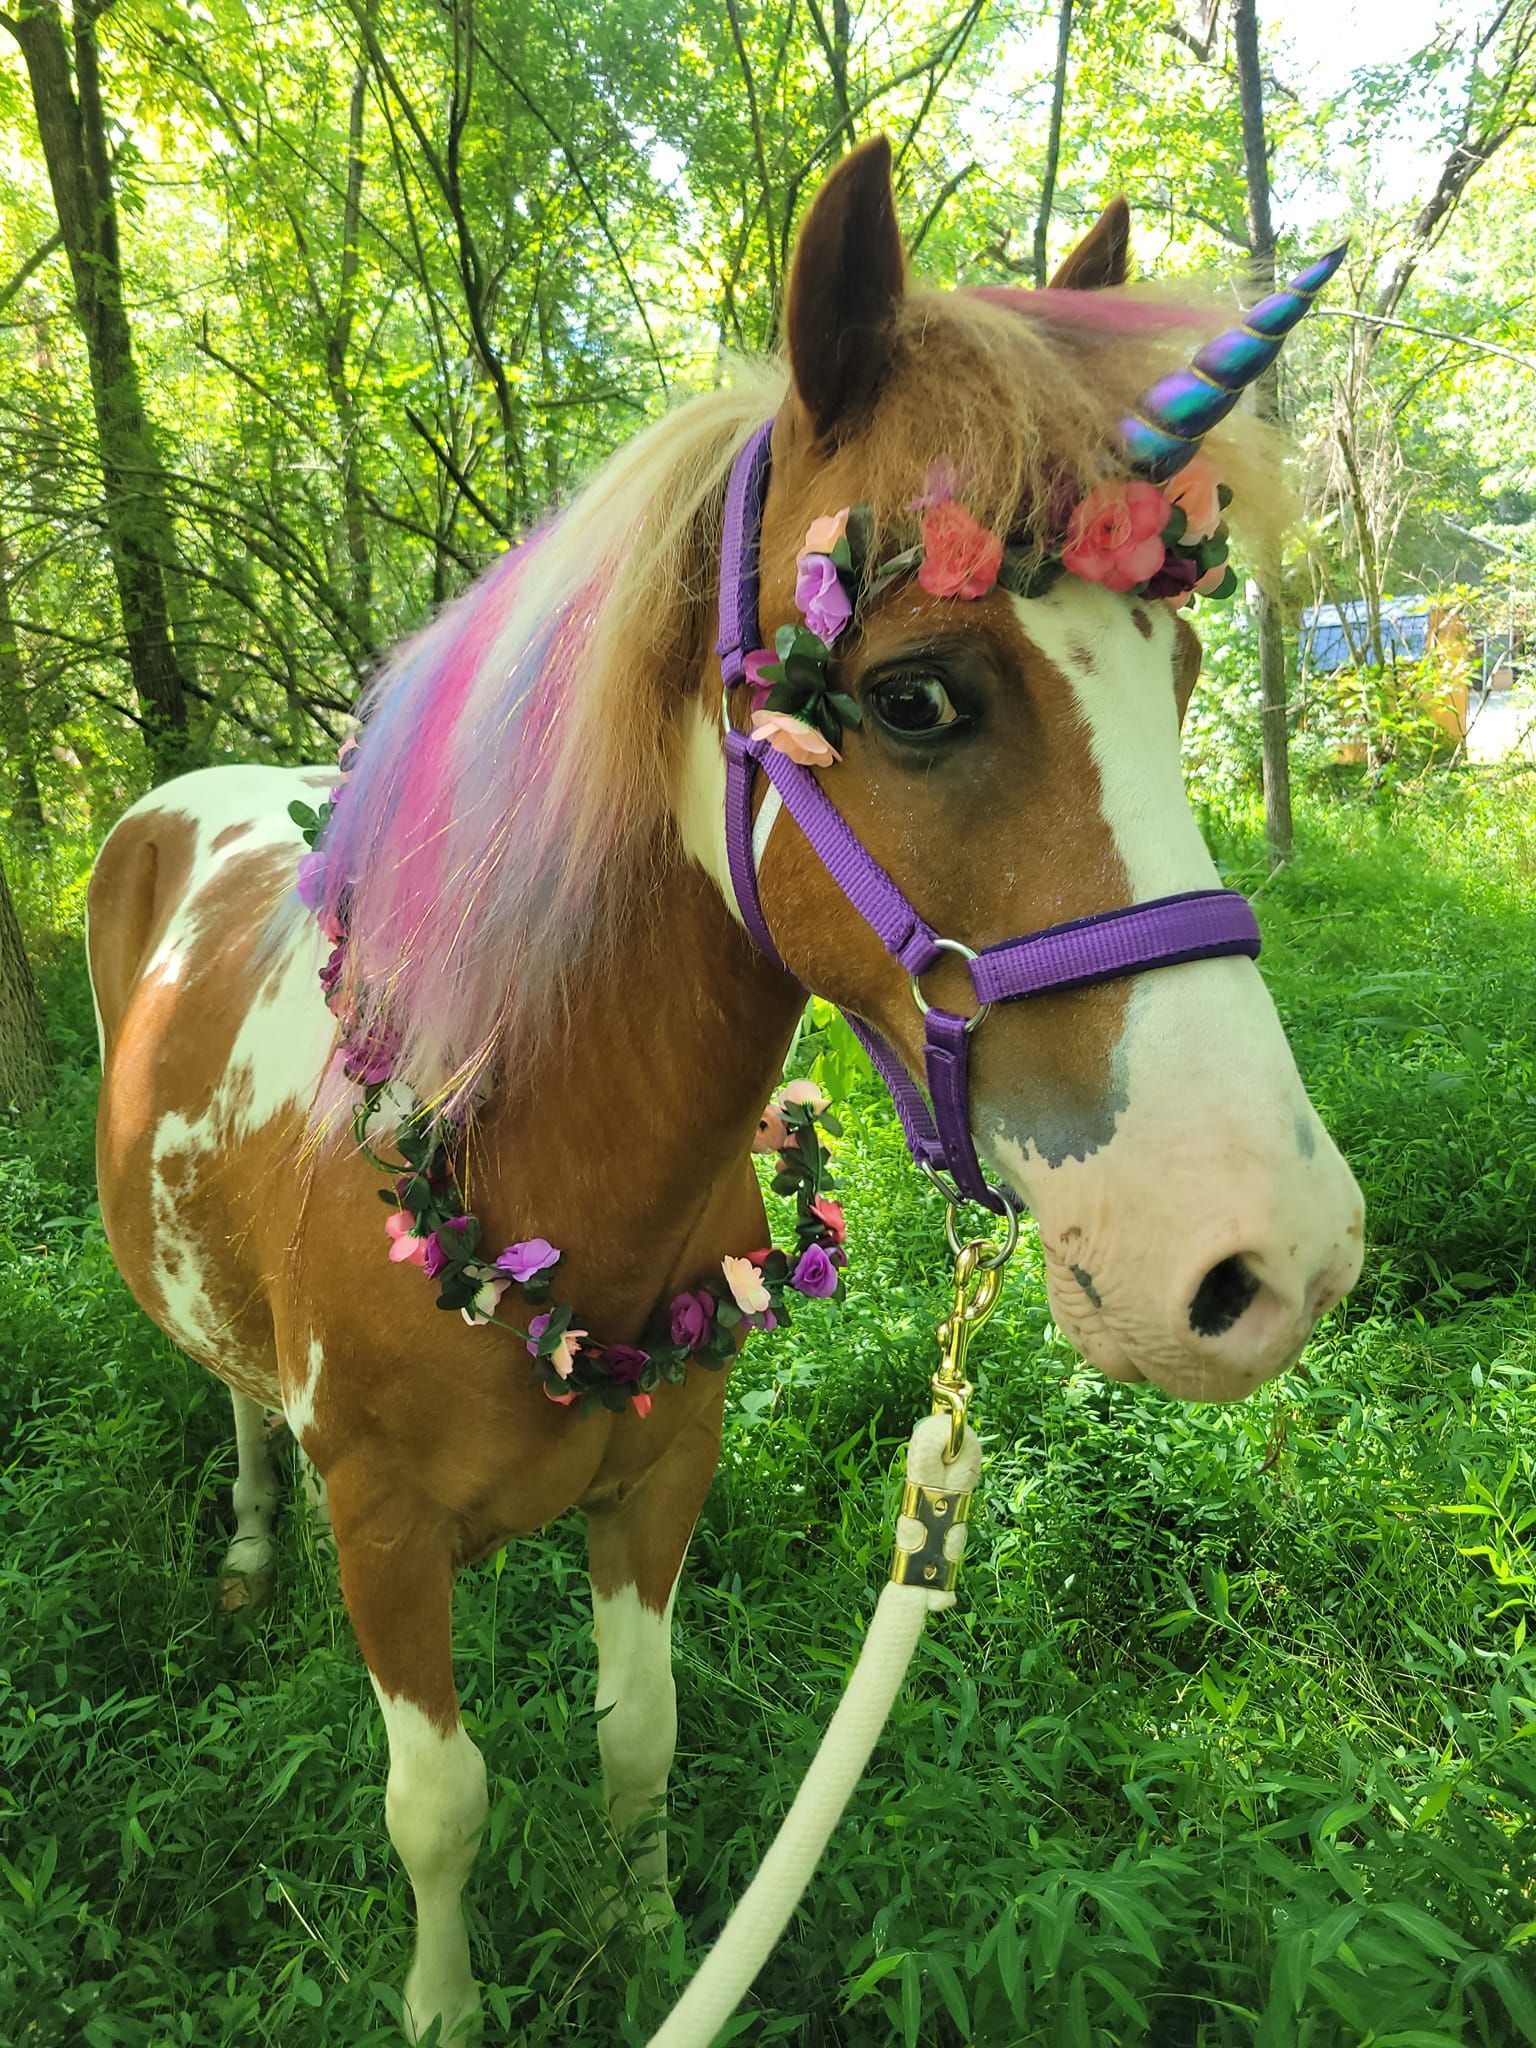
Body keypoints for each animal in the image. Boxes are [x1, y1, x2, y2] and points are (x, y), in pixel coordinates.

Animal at [87, 136, 1364, 2041]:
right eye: (915, 699)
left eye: (1185, 674)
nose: (1272, 1261)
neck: (531, 1167)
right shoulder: (383, 1528)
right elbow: (437, 1802)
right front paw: (445, 2006)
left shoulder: (663, 1470)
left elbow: (640, 1740)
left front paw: (643, 1945)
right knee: (232, 1399)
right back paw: (246, 1548)